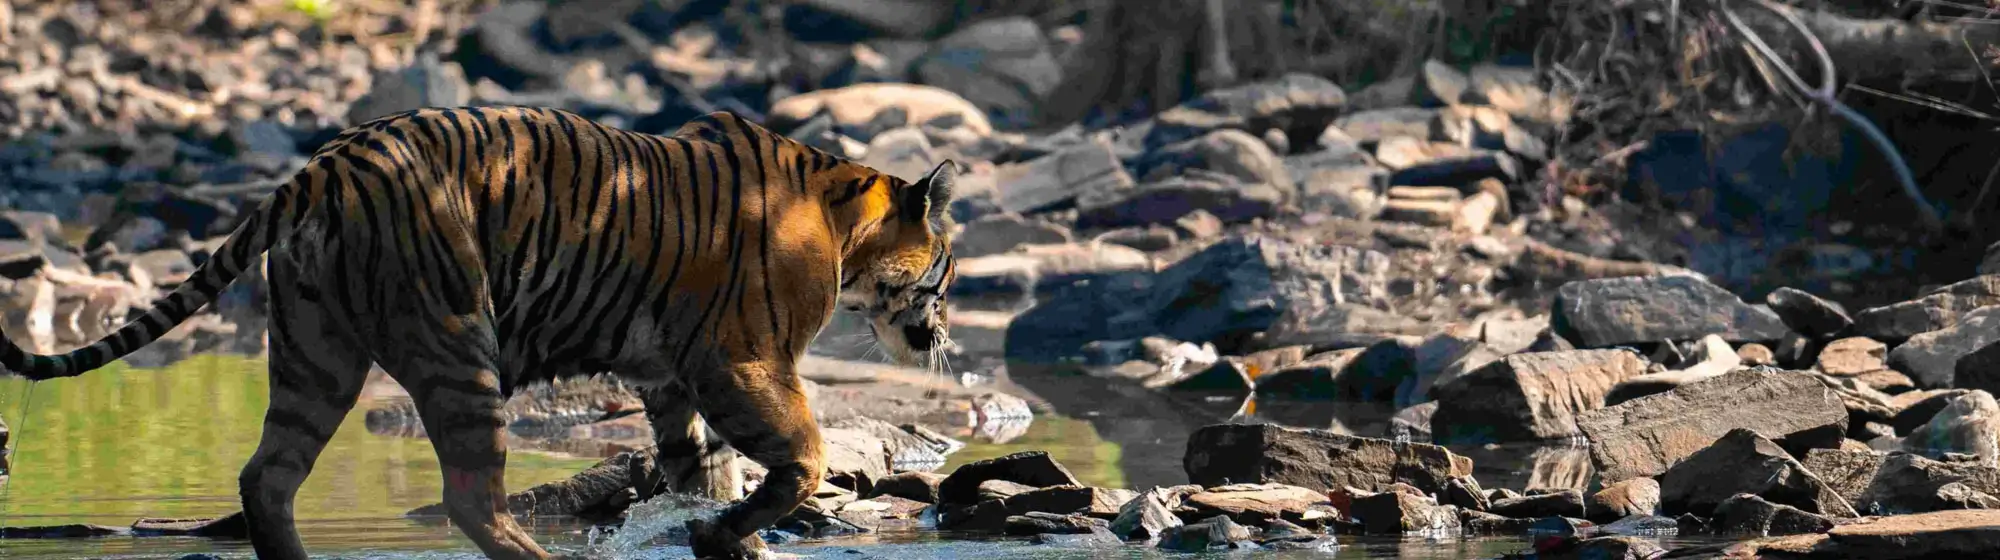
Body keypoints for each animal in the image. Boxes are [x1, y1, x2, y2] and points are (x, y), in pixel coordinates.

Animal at [0, 107, 961, 560]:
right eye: (948, 264)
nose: (941, 333)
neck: (844, 220)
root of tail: (319, 168)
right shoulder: (744, 361)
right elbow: (801, 456)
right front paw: (733, 531)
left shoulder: (669, 379)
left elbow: (703, 471)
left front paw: (726, 536)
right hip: (458, 342)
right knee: (470, 498)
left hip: (315, 351)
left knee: (266, 475)